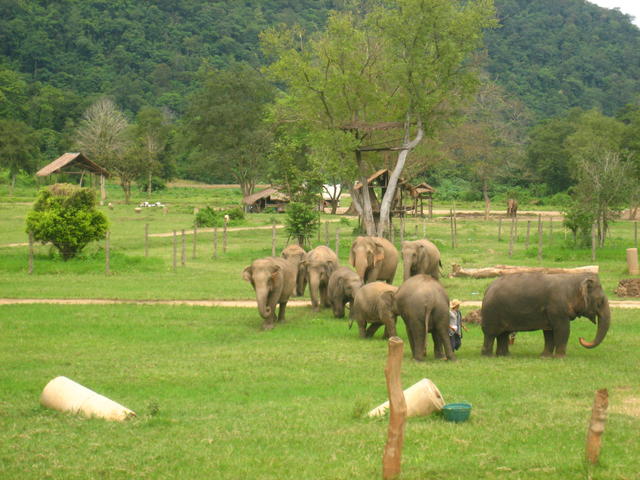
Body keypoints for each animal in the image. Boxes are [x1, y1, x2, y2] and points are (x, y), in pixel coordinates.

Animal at [481, 272, 611, 358]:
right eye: (600, 302)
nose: (581, 338)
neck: (573, 280)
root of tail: (487, 290)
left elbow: (548, 332)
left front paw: (544, 357)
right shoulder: (557, 308)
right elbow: (563, 329)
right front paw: (560, 358)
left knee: (503, 334)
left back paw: (504, 356)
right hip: (491, 313)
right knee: (490, 334)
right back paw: (488, 356)